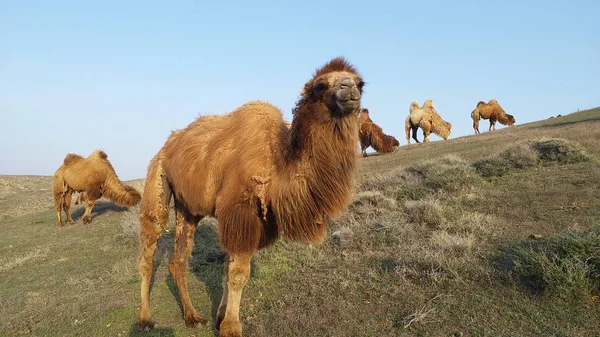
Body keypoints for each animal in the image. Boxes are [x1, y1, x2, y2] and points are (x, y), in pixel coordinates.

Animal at [138, 56, 366, 334]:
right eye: (321, 85)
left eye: (360, 83)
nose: (349, 89)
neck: (278, 164)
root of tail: (168, 144)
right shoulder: (241, 211)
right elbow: (237, 273)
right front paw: (231, 327)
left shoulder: (250, 218)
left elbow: (228, 267)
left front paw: (220, 317)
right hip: (157, 176)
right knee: (149, 247)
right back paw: (145, 318)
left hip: (187, 207)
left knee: (178, 260)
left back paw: (192, 316)